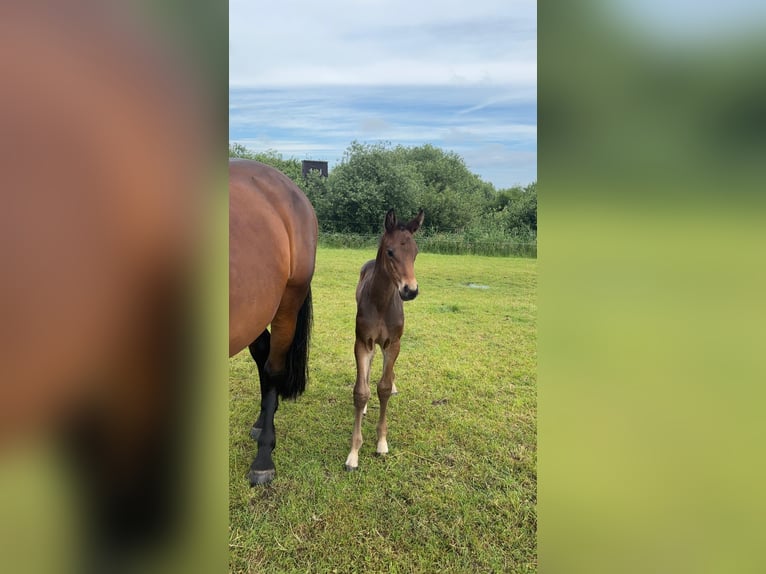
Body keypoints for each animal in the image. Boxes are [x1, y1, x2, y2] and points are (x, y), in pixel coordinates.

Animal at [345, 208, 424, 471]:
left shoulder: (393, 344)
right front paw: (353, 454)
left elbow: (385, 388)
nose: (410, 290)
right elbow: (361, 391)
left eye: (415, 253)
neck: (381, 302)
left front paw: (381, 443)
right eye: (390, 251)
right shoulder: (362, 342)